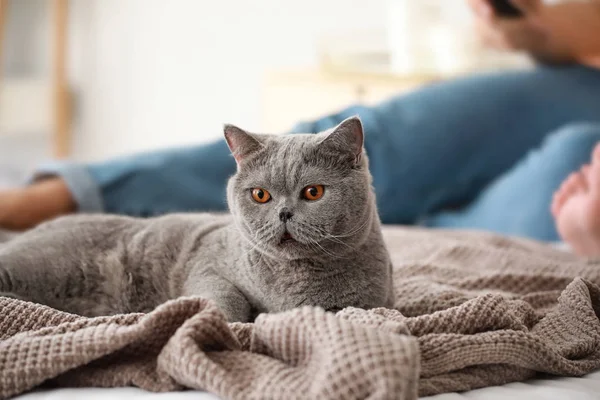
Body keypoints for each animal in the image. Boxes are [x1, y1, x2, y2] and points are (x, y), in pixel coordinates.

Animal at [0, 116, 394, 322]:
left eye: (313, 192)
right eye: (260, 195)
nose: (283, 213)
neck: (293, 280)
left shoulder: (371, 305)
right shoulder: (207, 264)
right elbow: (227, 297)